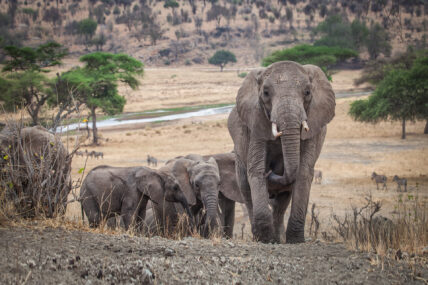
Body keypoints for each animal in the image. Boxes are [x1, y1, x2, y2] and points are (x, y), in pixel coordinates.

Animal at [229, 60, 336, 242]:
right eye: (265, 93)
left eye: (307, 92)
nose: (272, 171)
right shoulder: (256, 121)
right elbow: (256, 170)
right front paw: (266, 241)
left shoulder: (313, 124)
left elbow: (303, 171)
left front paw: (295, 241)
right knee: (246, 191)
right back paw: (261, 237)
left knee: (282, 202)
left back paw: (279, 239)